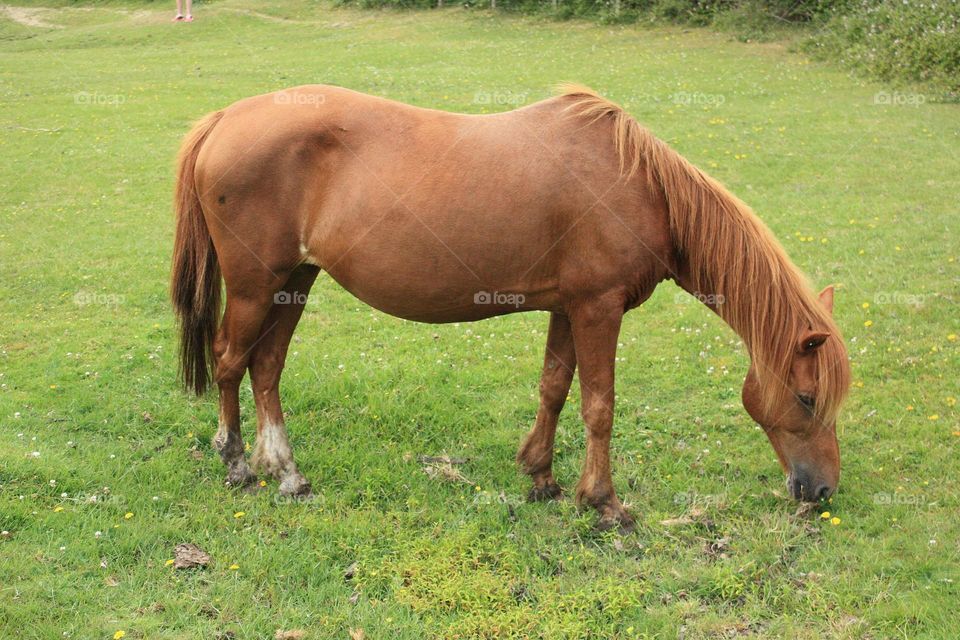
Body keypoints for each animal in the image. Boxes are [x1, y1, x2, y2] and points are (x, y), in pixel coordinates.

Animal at [171, 84, 850, 532]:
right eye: (807, 398)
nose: (820, 491)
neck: (639, 186)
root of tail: (226, 117)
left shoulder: (568, 307)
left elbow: (554, 387)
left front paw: (542, 478)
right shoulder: (599, 308)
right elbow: (599, 405)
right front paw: (604, 503)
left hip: (295, 281)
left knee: (266, 369)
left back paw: (287, 473)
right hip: (257, 287)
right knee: (230, 361)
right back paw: (238, 463)